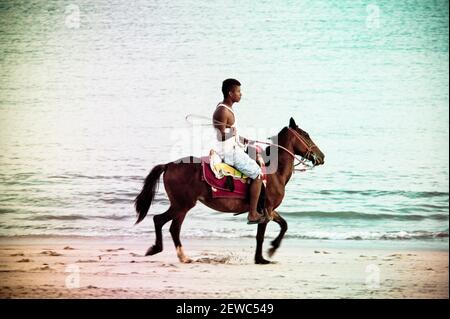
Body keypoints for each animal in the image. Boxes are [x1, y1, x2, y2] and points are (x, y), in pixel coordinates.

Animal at [134, 117, 324, 264]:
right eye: (306, 135)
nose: (322, 156)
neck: (274, 172)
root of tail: (168, 165)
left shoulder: (269, 211)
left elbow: (284, 225)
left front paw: (272, 249)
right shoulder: (266, 209)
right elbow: (260, 236)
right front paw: (261, 258)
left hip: (181, 205)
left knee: (173, 228)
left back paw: (182, 256)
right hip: (182, 205)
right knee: (160, 221)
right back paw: (160, 249)